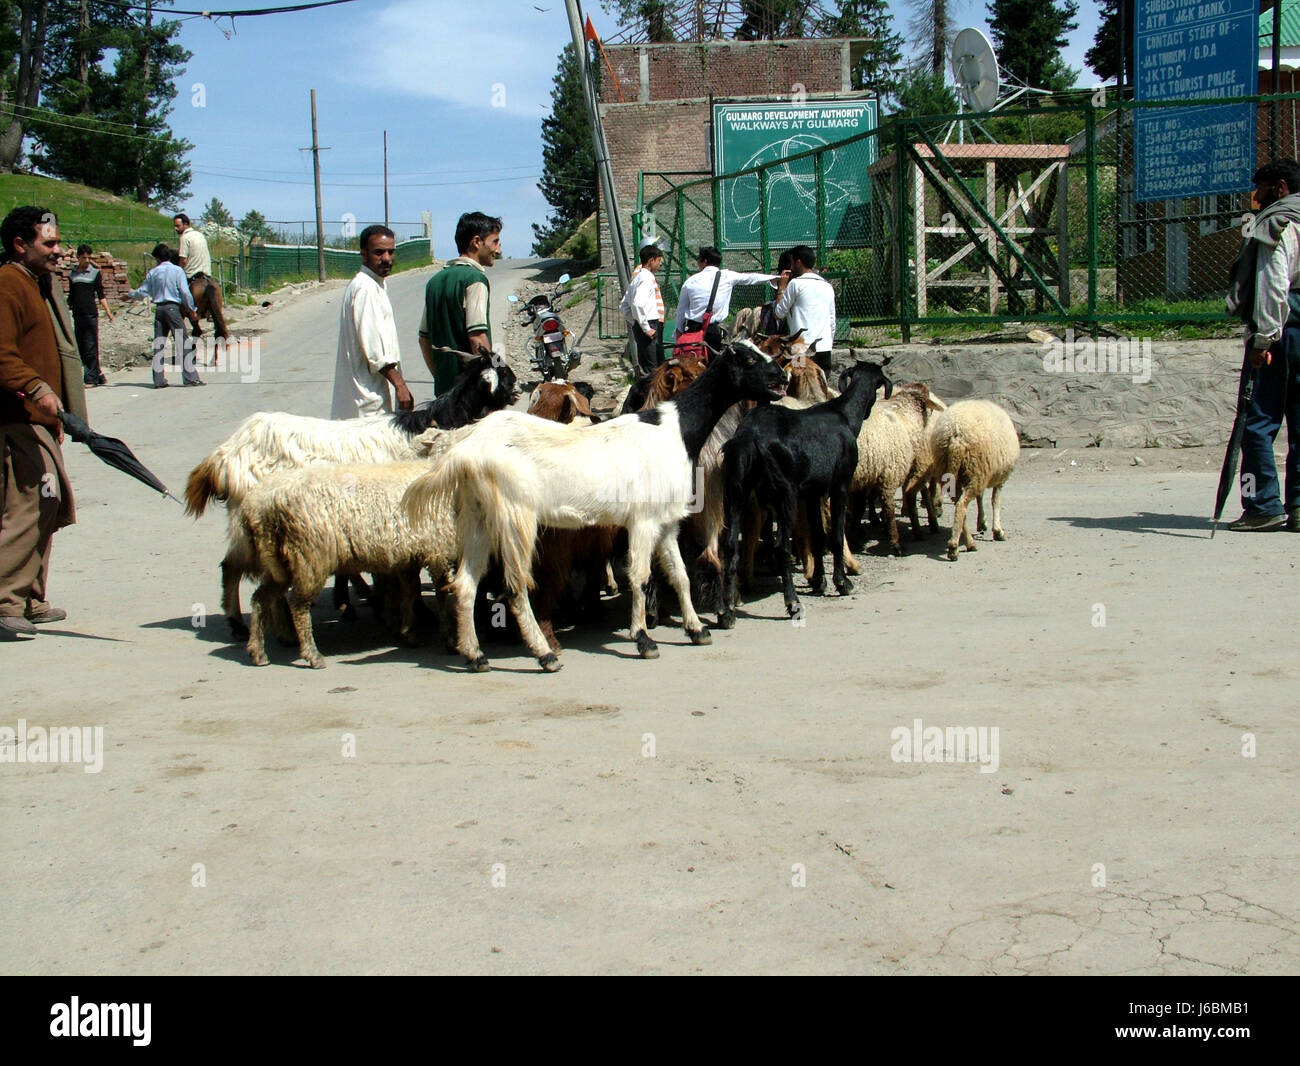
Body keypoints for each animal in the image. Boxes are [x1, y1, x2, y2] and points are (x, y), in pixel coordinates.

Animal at [185, 355, 519, 638]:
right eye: (503, 374)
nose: (518, 388)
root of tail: (227, 453)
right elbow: (407, 573)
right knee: (246, 571)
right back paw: (274, 629)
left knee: (231, 565)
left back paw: (243, 623)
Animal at [402, 341, 789, 672]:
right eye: (749, 359)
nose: (782, 377)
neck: (673, 430)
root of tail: (465, 451)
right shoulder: (642, 520)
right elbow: (640, 576)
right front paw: (644, 639)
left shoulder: (666, 522)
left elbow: (679, 574)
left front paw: (697, 630)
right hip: (516, 518)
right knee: (514, 587)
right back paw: (544, 654)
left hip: (477, 517)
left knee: (465, 585)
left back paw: (475, 655)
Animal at [720, 360, 892, 628]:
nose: (867, 412)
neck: (843, 415)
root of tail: (750, 436)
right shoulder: (840, 485)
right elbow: (836, 534)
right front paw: (842, 583)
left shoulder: (813, 492)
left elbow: (818, 535)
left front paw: (819, 581)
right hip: (785, 495)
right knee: (781, 547)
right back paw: (792, 602)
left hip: (737, 492)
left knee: (729, 545)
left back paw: (727, 612)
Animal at [919, 399, 1020, 561]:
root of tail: (955, 435)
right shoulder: (999, 477)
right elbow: (995, 502)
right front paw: (998, 531)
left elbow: (981, 498)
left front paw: (982, 522)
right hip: (975, 469)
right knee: (961, 505)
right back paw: (954, 547)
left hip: (952, 471)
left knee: (960, 504)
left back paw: (969, 543)